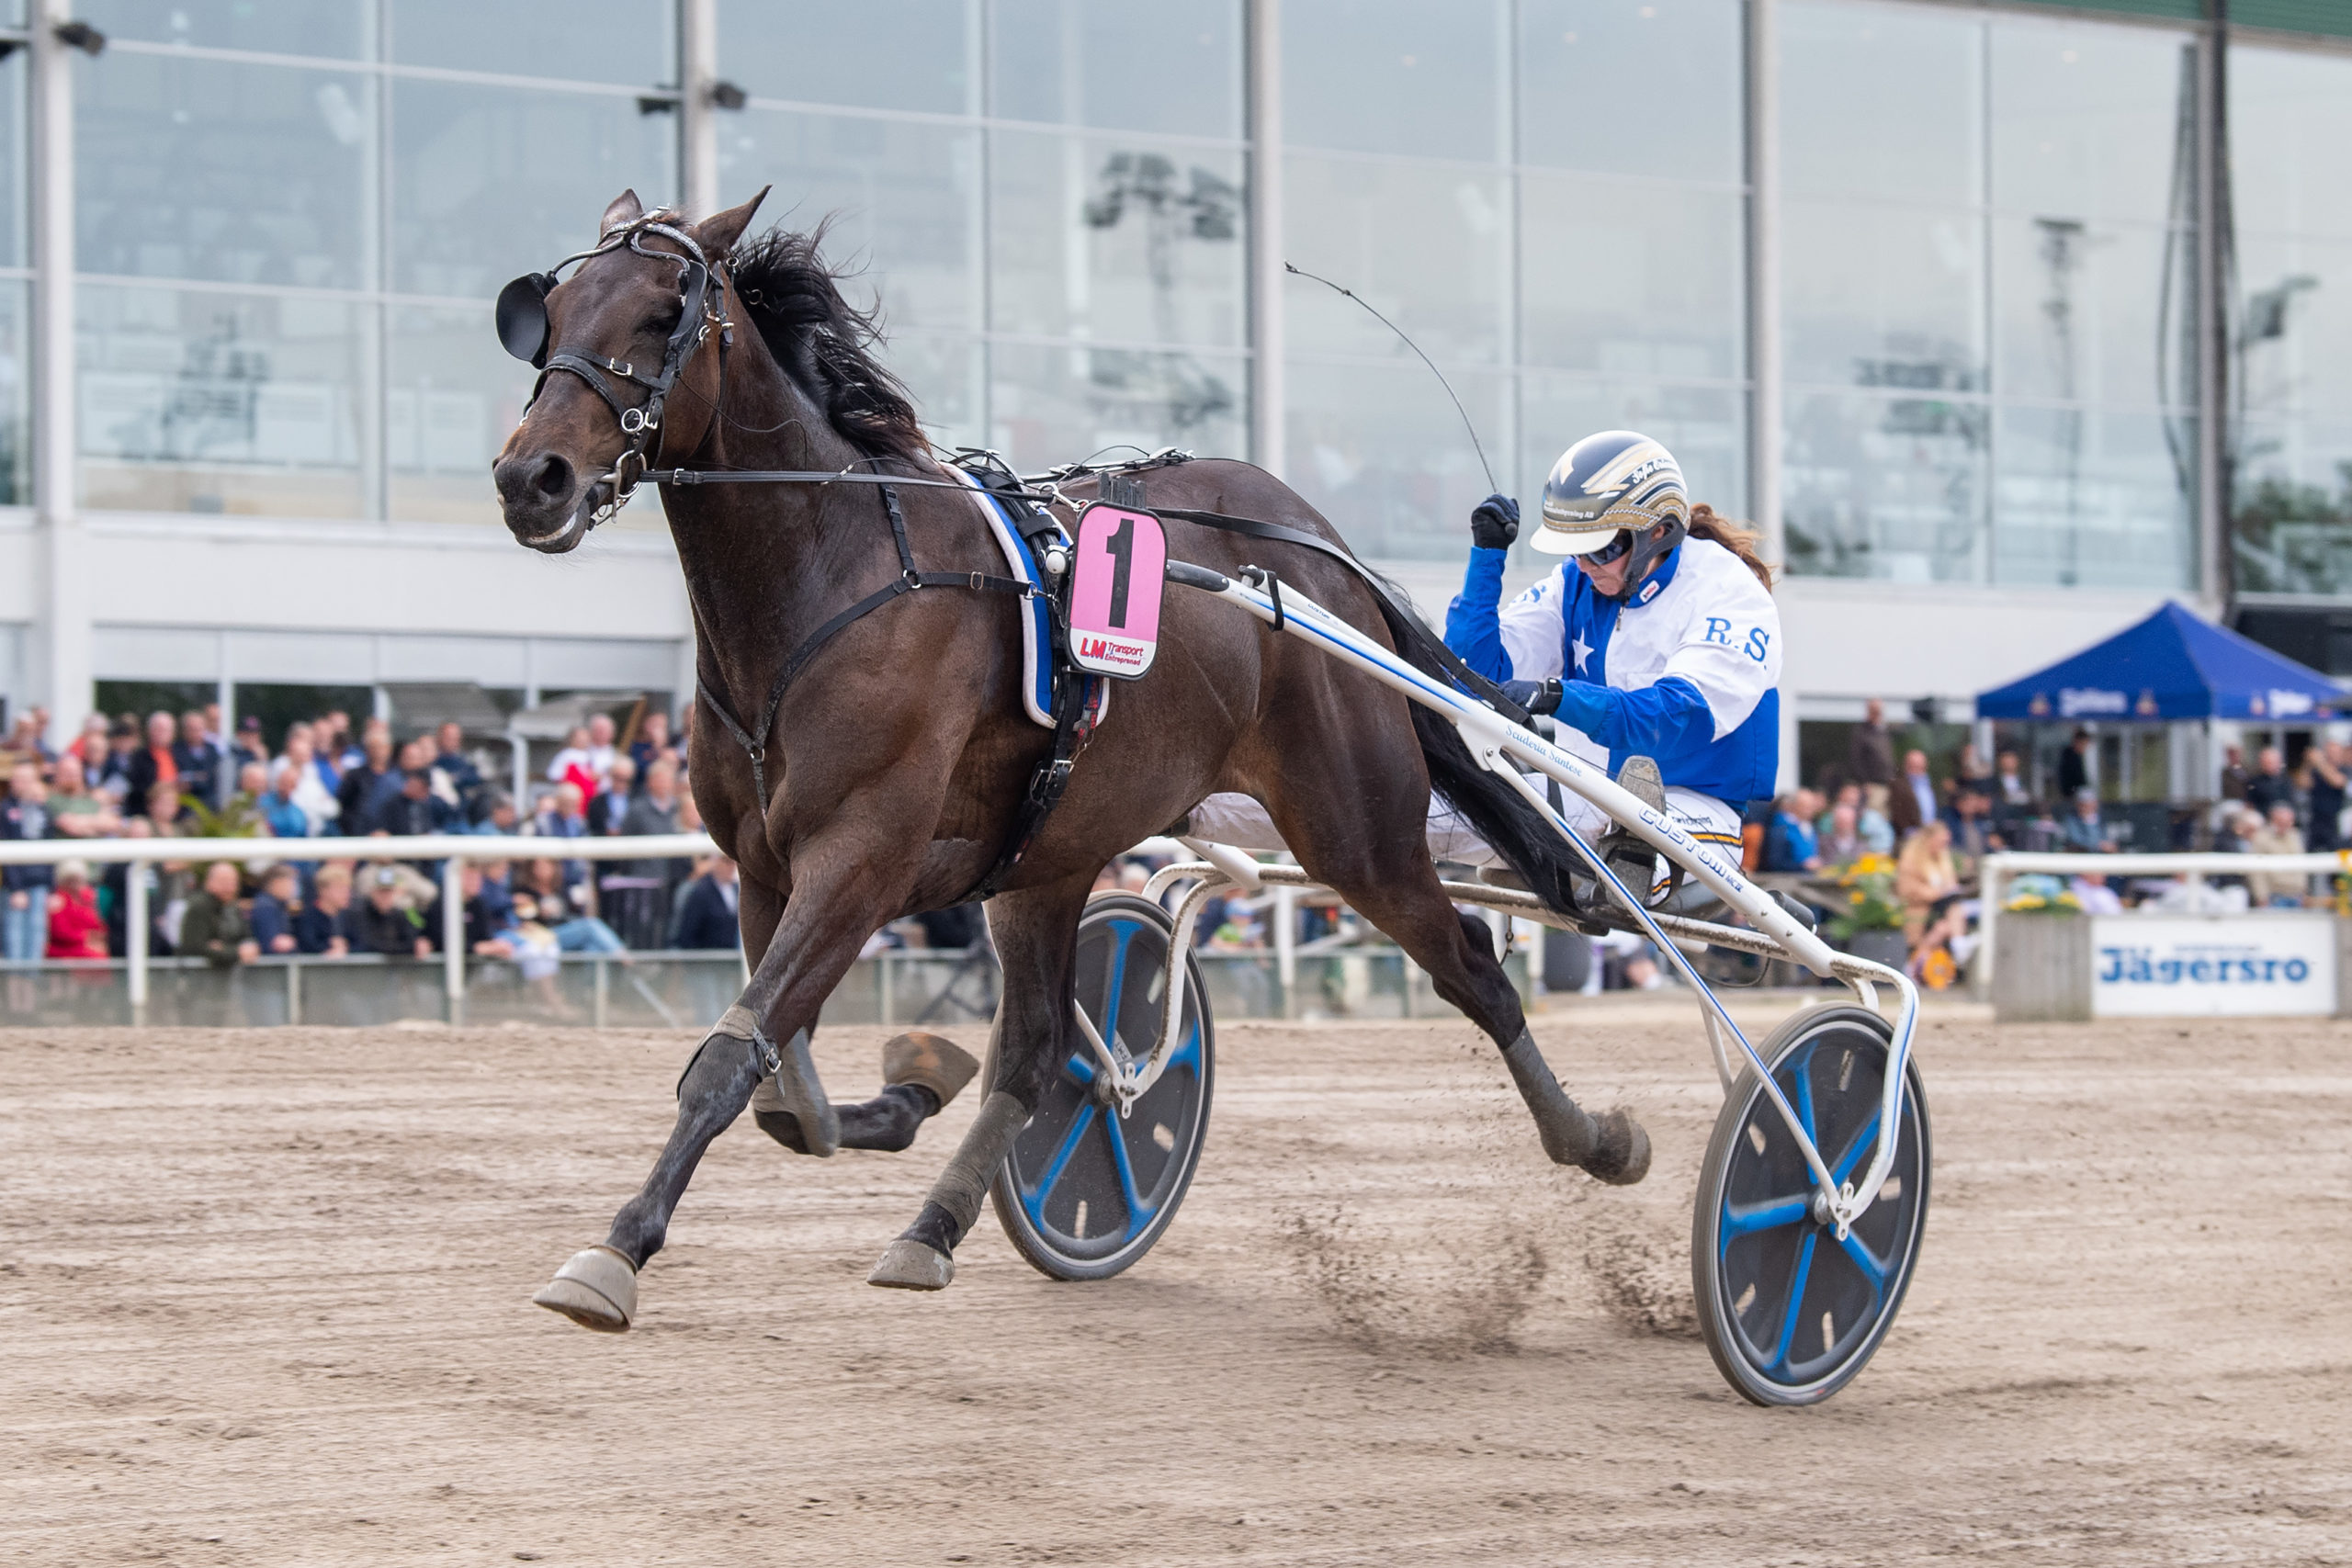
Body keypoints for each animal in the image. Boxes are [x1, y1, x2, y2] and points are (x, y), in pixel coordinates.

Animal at [498, 186, 1646, 1335]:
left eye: (663, 312)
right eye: (547, 315)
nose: (529, 477)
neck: (832, 575)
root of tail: (1315, 546)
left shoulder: (860, 856)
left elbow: (733, 1058)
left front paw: (613, 1252)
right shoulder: (763, 865)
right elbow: (786, 1086)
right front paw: (907, 1086)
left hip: (1353, 829)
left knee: (1474, 969)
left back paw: (1597, 1139)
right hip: (1049, 858)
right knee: (1040, 1050)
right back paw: (932, 1228)